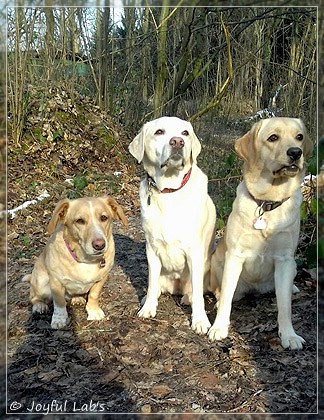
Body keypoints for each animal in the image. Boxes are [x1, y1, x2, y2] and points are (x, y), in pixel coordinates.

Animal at [24, 195, 127, 330]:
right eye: (80, 221)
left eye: (104, 218)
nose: (99, 245)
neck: (86, 260)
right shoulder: (56, 282)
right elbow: (59, 302)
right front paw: (59, 319)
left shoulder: (101, 279)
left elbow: (94, 295)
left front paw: (93, 311)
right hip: (40, 281)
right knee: (34, 297)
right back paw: (39, 306)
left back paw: (77, 298)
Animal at [209, 116, 312, 350]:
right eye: (273, 138)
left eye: (299, 137)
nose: (295, 153)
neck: (267, 203)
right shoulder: (235, 255)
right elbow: (226, 296)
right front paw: (219, 327)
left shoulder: (284, 260)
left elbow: (284, 305)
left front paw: (289, 335)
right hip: (218, 262)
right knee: (223, 291)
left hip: (291, 266)